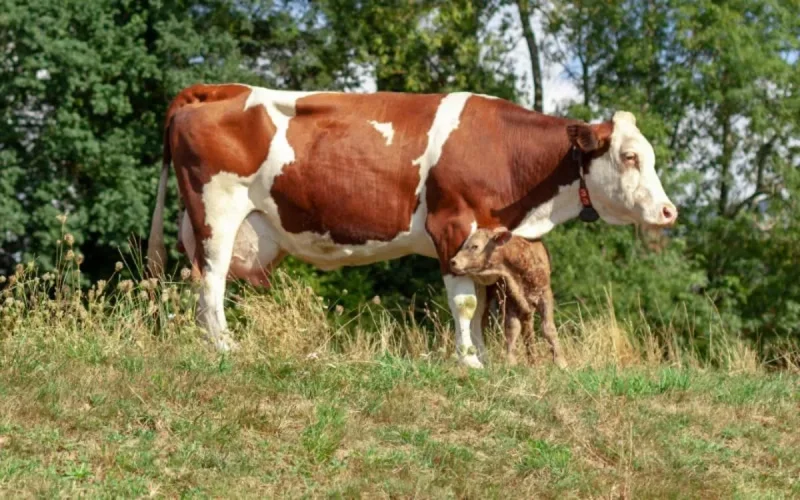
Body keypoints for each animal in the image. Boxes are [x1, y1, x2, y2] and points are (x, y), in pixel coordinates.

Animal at [450, 227, 566, 368]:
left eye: (475, 246)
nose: (453, 261)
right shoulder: (511, 299)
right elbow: (512, 329)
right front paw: (511, 362)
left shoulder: (545, 294)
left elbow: (548, 328)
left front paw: (561, 362)